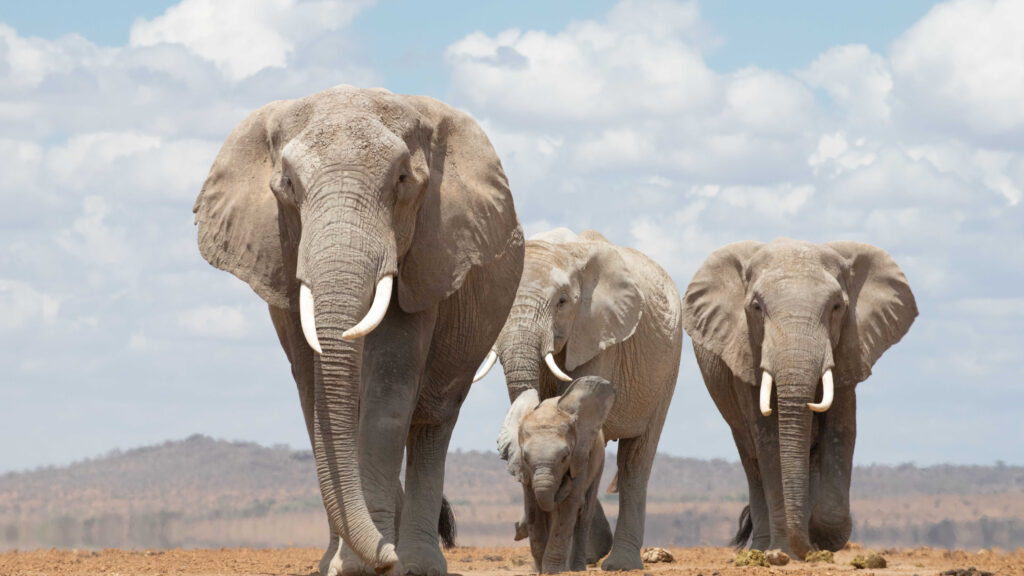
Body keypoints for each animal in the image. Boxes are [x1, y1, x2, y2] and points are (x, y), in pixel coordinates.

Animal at [193, 85, 524, 576]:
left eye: (403, 180)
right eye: (287, 184)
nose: (385, 558)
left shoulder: (425, 254)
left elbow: (389, 391)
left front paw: (372, 563)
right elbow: (316, 397)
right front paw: (341, 565)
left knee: (433, 422)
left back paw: (418, 562)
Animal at [499, 376, 614, 573]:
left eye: (565, 457)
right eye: (525, 457)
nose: (516, 530)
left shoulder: (580, 456)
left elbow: (569, 505)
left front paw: (552, 571)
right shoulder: (526, 473)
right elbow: (533, 506)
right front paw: (540, 570)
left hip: (598, 461)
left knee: (584, 513)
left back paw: (577, 568)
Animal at [681, 238, 917, 559]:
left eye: (837, 307)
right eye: (756, 307)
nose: (807, 547)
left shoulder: (849, 348)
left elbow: (841, 431)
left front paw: (820, 536)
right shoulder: (746, 351)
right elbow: (769, 442)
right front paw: (786, 551)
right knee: (751, 459)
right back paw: (762, 549)